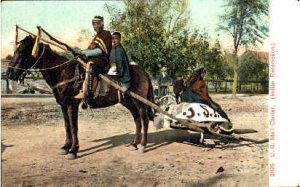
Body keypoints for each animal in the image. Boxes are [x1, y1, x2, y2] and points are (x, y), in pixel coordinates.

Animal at [7, 35, 155, 160]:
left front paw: (73, 150)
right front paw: (66, 147)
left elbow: (74, 127)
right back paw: (134, 144)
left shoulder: (72, 105)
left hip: (139, 102)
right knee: (137, 120)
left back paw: (143, 145)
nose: (9, 73)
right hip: (128, 102)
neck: (63, 72)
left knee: (144, 119)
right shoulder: (63, 105)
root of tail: (144, 72)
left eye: (23, 52)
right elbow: (67, 126)